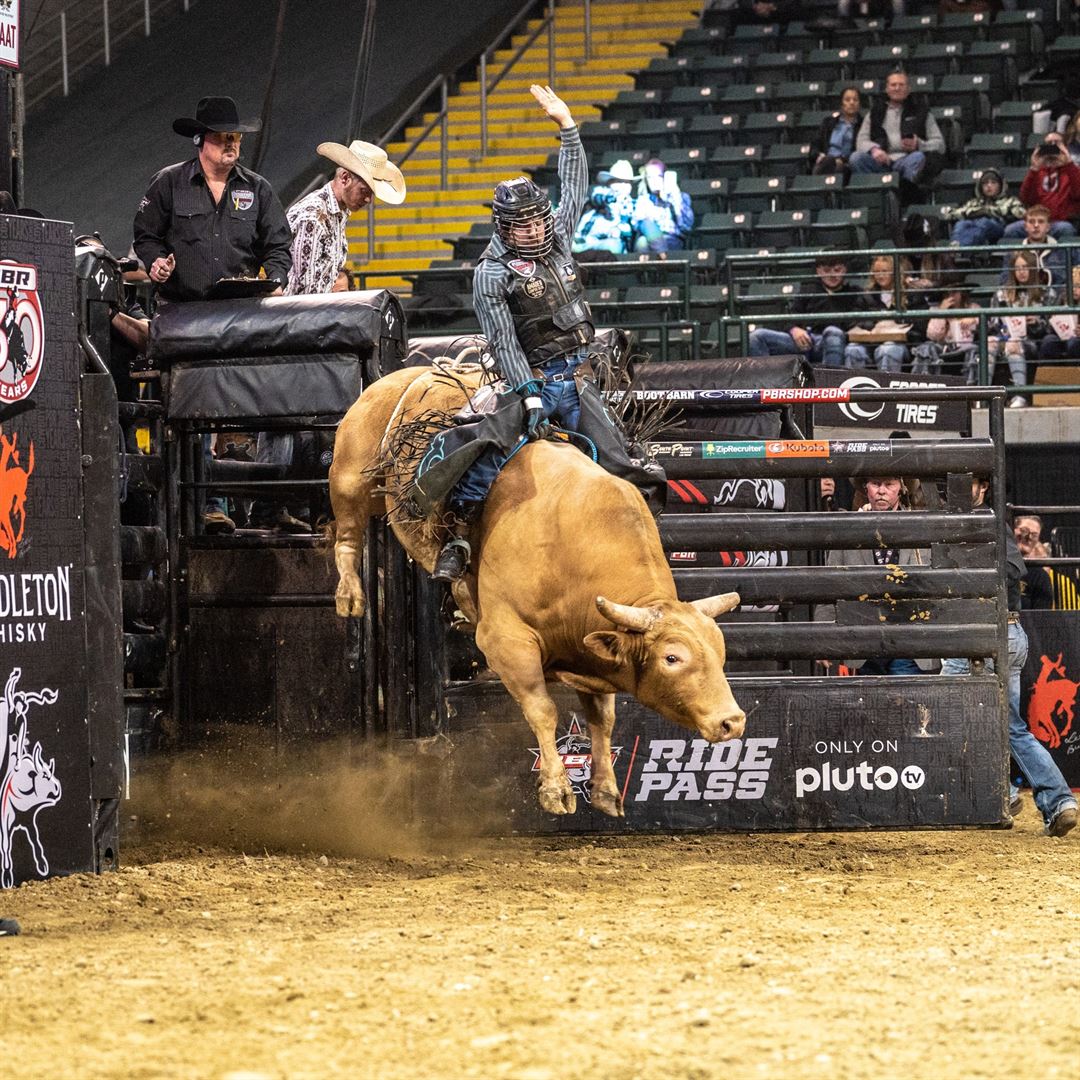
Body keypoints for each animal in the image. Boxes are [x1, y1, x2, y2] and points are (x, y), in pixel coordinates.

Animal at [330, 362, 745, 817]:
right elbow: (543, 710)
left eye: (721, 653)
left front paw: (604, 790)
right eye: (672, 657)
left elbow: (602, 718)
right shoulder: (506, 641)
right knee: (347, 529)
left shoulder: (592, 649)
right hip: (350, 473)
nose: (732, 721)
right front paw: (556, 790)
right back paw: (350, 596)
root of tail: (417, 371)